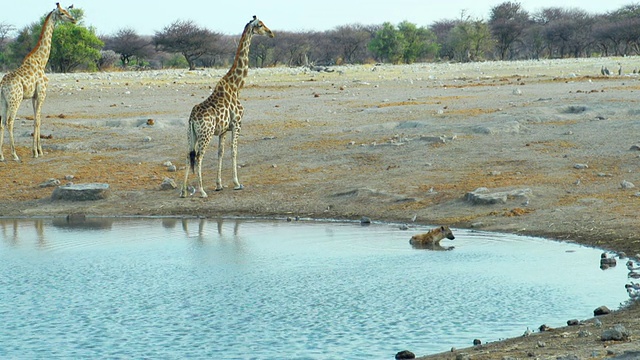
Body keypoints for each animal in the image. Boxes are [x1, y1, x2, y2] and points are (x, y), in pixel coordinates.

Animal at [0, 3, 76, 161]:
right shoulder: (42, 93)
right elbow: (37, 120)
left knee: (2, 123)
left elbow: (37, 119)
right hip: (15, 100)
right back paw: (14, 154)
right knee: (10, 122)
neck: (42, 60)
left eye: (67, 10)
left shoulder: (34, 96)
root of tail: (3, 85)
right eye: (61, 13)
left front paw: (39, 150)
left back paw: (2, 156)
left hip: (3, 100)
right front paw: (35, 152)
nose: (73, 19)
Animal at [179, 15, 274, 198]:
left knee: (188, 155)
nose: (271, 33)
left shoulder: (223, 130)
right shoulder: (237, 123)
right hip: (205, 134)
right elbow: (234, 150)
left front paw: (219, 185)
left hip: (191, 135)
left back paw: (184, 192)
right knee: (199, 157)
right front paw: (237, 183)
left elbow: (220, 153)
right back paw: (202, 191)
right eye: (260, 25)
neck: (236, 86)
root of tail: (192, 118)